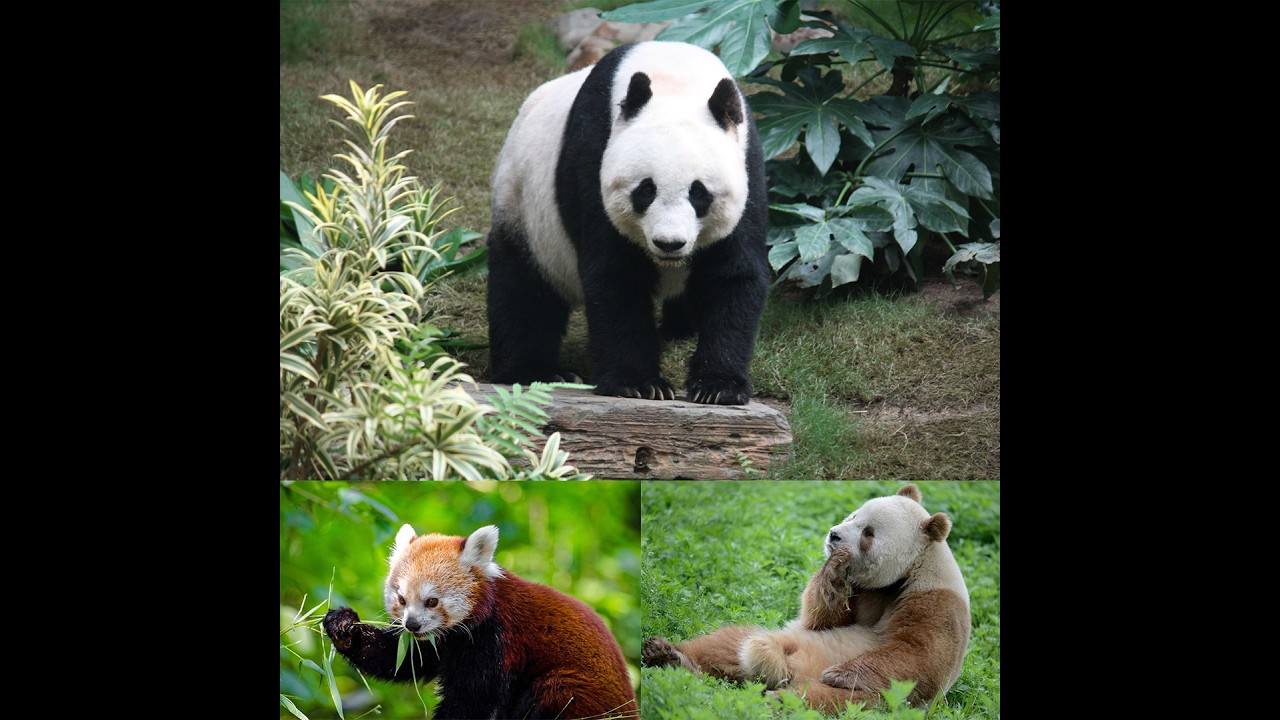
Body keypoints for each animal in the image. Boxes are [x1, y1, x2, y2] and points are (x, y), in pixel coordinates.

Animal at [486, 41, 769, 405]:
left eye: (699, 193)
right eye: (646, 190)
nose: (669, 243)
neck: (675, 78)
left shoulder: (748, 166)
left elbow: (732, 274)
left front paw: (718, 386)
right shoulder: (593, 155)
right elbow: (617, 275)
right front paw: (639, 384)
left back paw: (679, 330)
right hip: (524, 206)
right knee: (524, 289)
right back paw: (536, 371)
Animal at [642, 484, 971, 714]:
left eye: (869, 532)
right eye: (854, 514)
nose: (834, 535)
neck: (906, 571)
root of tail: (788, 671)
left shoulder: (936, 602)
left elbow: (917, 656)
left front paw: (839, 672)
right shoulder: (862, 591)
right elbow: (821, 619)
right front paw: (833, 566)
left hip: (878, 698)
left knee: (833, 701)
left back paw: (777, 701)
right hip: (784, 638)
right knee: (726, 643)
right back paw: (669, 656)